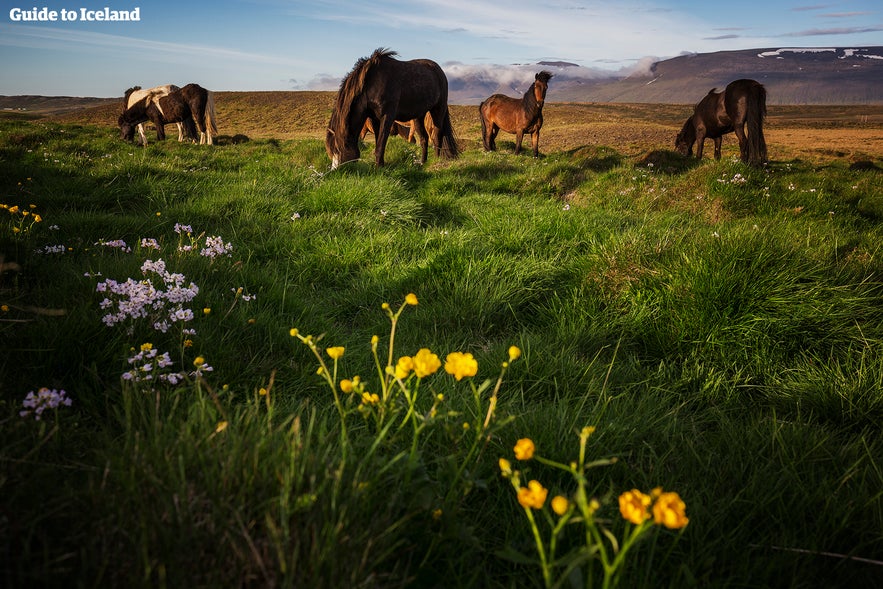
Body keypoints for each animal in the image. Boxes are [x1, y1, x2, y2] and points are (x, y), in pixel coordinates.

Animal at [325, 48, 459, 168]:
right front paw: (379, 166)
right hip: (418, 116)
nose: (336, 171)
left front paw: (379, 168)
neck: (373, 84)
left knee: (436, 135)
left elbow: (381, 144)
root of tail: (439, 71)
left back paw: (436, 160)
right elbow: (378, 142)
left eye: (338, 151)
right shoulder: (374, 119)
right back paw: (422, 163)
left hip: (438, 110)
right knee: (424, 138)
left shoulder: (387, 116)